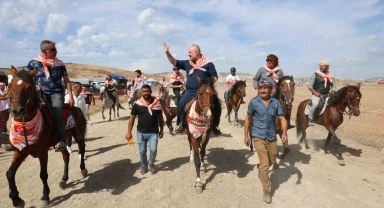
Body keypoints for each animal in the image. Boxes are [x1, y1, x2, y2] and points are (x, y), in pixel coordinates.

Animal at [6, 67, 88, 208]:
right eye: (10, 86)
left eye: (29, 87)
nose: (16, 111)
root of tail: (75, 107)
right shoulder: (20, 151)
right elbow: (10, 173)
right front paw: (16, 199)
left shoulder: (42, 152)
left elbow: (43, 174)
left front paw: (45, 196)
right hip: (63, 139)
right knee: (66, 155)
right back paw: (64, 179)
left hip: (78, 135)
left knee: (82, 148)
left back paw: (83, 169)